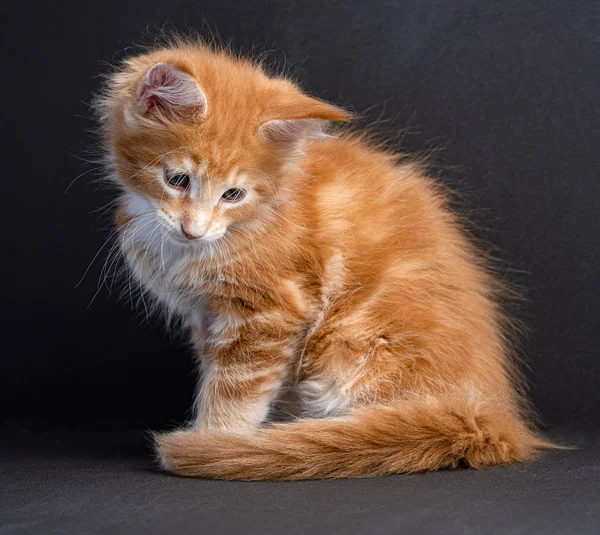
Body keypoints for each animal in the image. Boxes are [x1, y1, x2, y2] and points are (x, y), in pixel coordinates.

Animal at [96, 39, 556, 480]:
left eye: (233, 194)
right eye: (177, 180)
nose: (194, 229)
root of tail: (488, 415)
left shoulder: (271, 313)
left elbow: (234, 390)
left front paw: (216, 441)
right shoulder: (206, 316)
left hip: (357, 345)